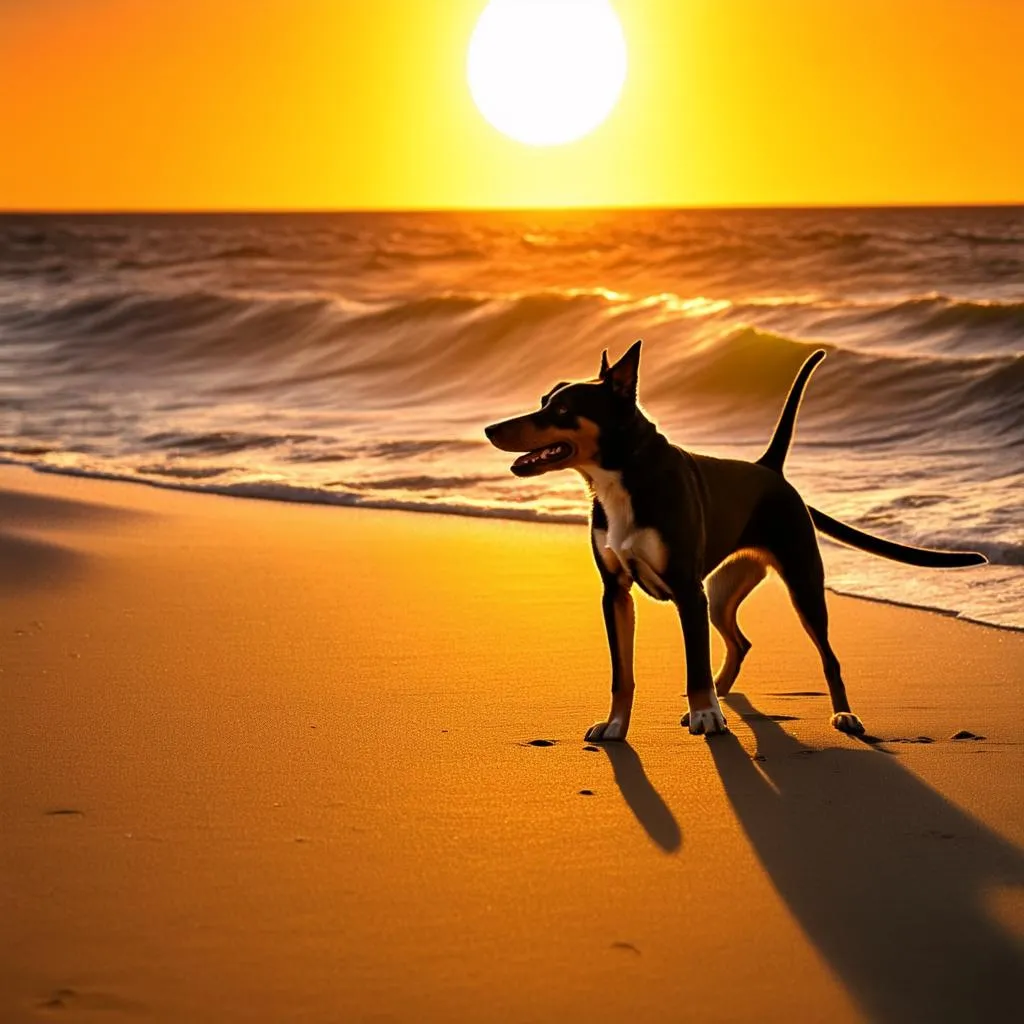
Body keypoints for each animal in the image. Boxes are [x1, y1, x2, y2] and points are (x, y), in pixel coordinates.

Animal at [483, 339, 987, 741]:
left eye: (561, 411)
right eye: (543, 401)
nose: (490, 429)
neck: (623, 476)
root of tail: (769, 469)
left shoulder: (688, 590)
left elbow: (694, 662)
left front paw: (704, 713)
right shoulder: (616, 593)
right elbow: (622, 673)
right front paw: (617, 725)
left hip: (799, 581)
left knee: (827, 656)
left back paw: (839, 714)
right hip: (723, 590)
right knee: (738, 641)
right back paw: (721, 698)